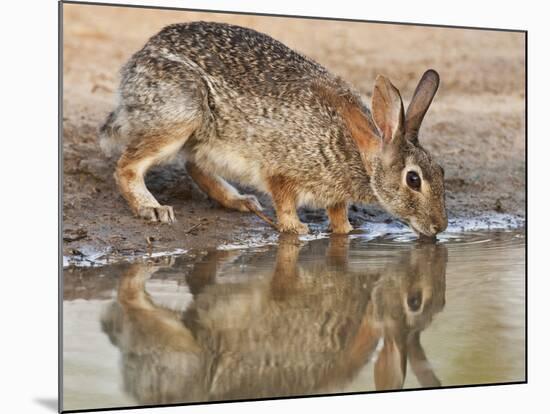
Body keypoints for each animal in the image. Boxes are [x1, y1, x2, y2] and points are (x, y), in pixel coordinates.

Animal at [99, 21, 448, 236]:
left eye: (441, 171)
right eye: (413, 179)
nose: (440, 227)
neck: (358, 151)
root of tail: (136, 63)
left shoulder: (335, 195)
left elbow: (338, 215)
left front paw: (347, 232)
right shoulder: (281, 171)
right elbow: (284, 203)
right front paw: (298, 231)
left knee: (194, 165)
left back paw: (241, 201)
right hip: (181, 114)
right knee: (127, 167)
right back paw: (153, 209)